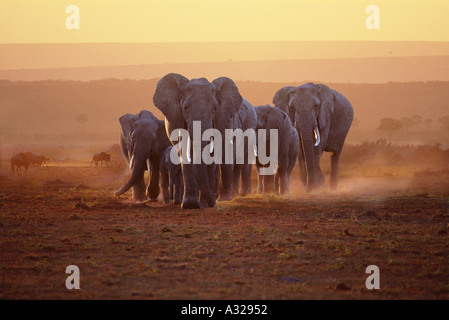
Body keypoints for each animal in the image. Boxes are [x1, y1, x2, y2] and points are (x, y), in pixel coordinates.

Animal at [154, 72, 245, 209]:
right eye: (185, 108)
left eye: (215, 108)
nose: (213, 202)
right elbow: (185, 151)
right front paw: (190, 205)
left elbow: (211, 156)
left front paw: (204, 204)